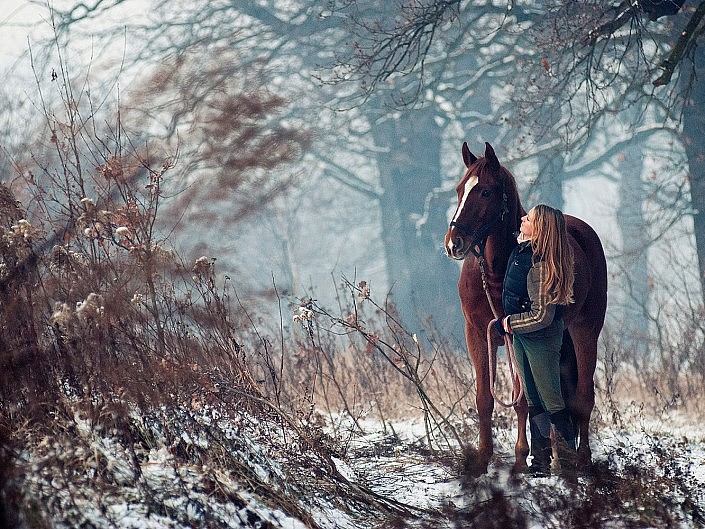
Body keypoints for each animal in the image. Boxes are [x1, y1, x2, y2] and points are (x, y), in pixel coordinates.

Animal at [446, 141, 604, 474]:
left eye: (485, 192)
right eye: (459, 190)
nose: (454, 243)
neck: (497, 271)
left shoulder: (514, 334)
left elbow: (521, 401)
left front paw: (520, 458)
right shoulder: (478, 334)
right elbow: (484, 398)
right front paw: (482, 461)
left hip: (585, 331)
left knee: (582, 397)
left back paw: (581, 462)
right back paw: (559, 457)